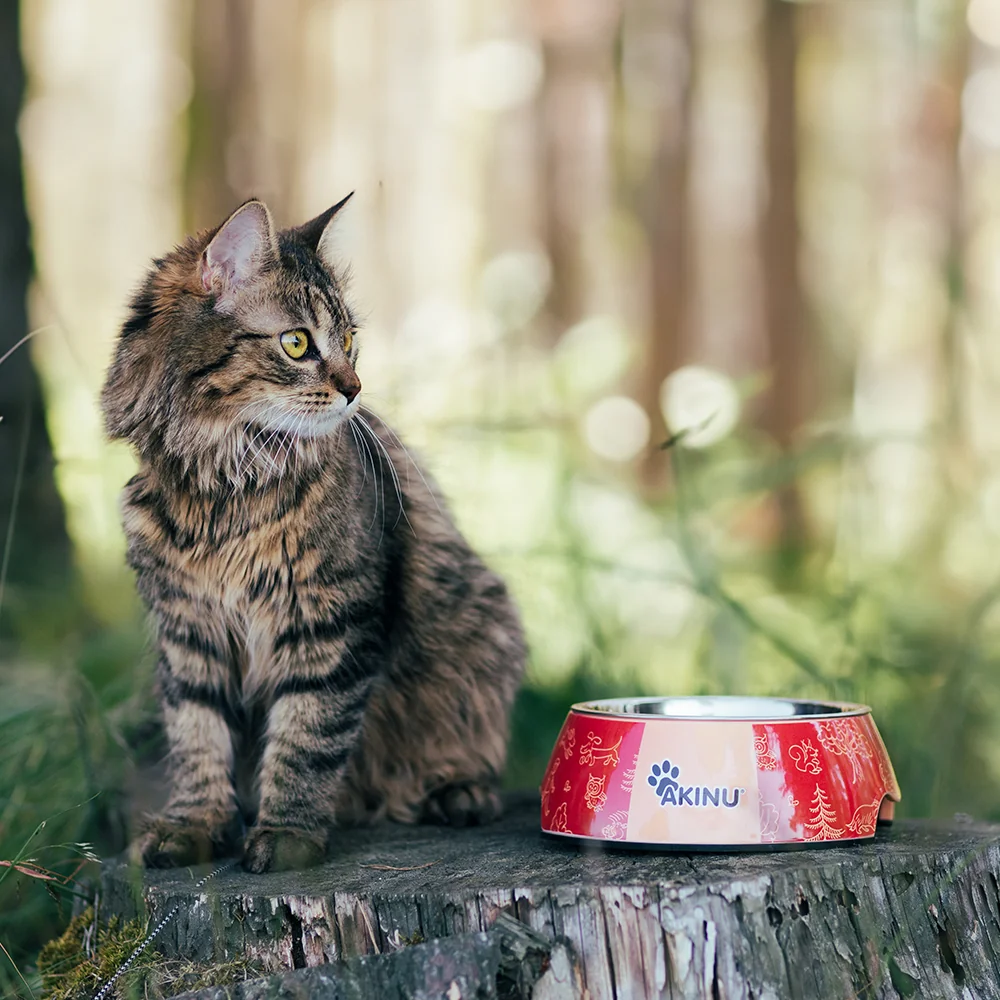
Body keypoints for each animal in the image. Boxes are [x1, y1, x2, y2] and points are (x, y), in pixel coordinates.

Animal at [99, 193, 532, 868]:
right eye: (297, 343)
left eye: (350, 340)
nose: (354, 390)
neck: (225, 485)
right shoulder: (188, 629)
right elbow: (198, 735)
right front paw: (195, 825)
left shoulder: (331, 621)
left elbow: (307, 735)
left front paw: (286, 835)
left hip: (482, 629)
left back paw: (454, 794)